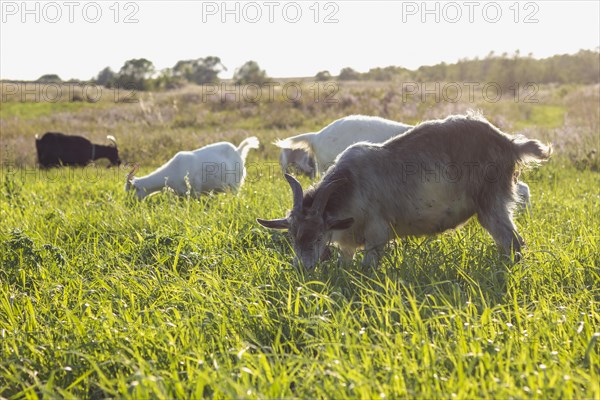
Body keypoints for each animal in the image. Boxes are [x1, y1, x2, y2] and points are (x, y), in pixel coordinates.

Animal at [125, 138, 258, 200]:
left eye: (132, 190)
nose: (130, 203)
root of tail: (238, 151)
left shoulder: (195, 190)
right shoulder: (181, 193)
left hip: (235, 184)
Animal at [255, 112, 552, 270]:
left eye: (317, 236)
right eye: (292, 236)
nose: (303, 268)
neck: (352, 183)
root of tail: (509, 143)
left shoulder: (377, 232)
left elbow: (368, 265)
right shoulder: (347, 241)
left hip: (491, 203)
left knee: (513, 241)